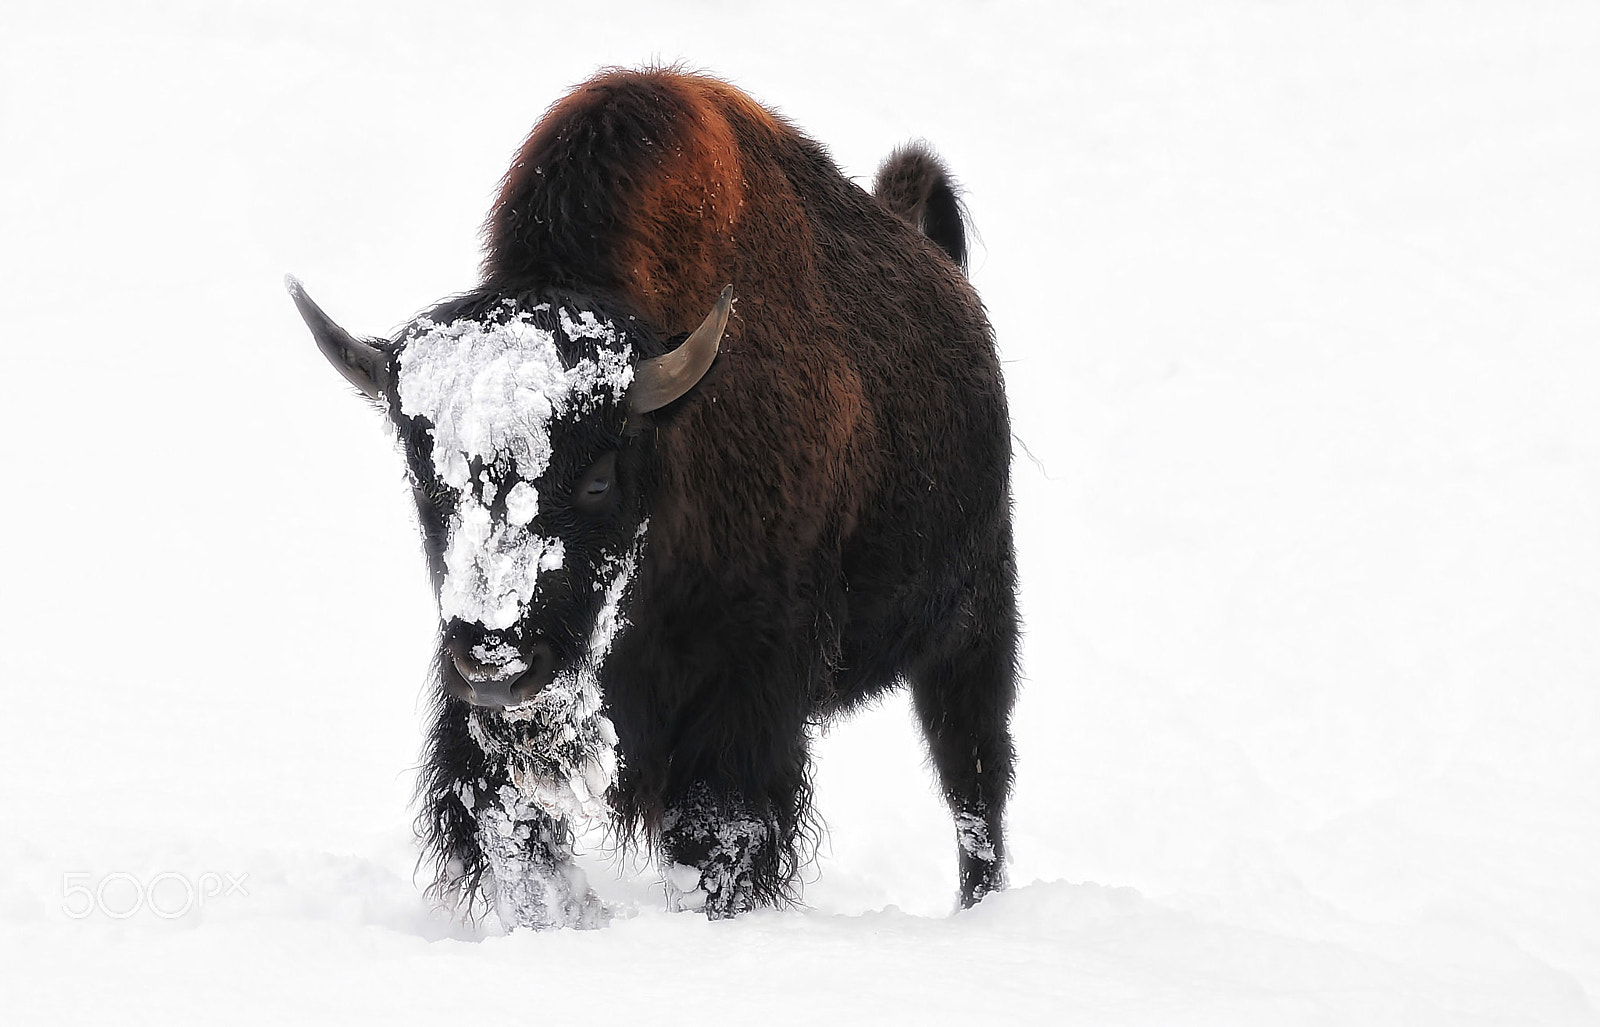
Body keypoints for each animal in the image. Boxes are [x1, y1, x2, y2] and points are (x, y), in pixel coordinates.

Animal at [289, 68, 1018, 928]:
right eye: (420, 470)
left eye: (599, 476)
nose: (498, 664)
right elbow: (511, 822)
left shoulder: (745, 686)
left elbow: (717, 832)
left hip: (972, 630)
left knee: (975, 786)